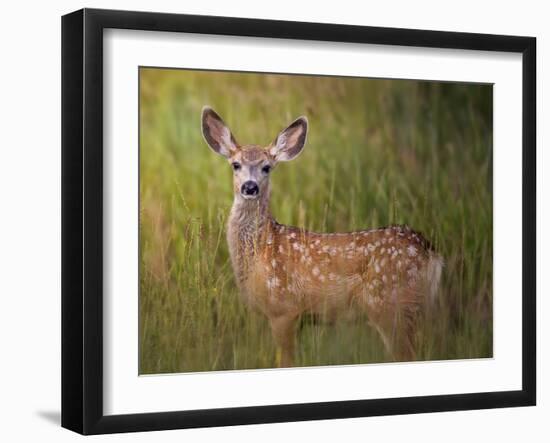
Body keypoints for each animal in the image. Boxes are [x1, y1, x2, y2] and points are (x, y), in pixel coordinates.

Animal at [202, 107, 444, 368]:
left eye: (267, 167)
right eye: (235, 165)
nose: (249, 187)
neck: (260, 250)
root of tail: (430, 252)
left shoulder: (283, 309)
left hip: (390, 304)